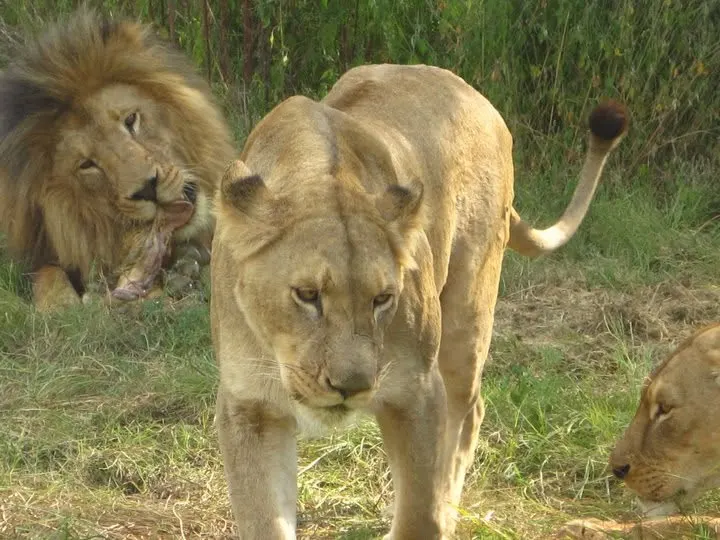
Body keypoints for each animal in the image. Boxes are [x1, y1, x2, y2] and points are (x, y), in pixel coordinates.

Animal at [210, 64, 626, 539]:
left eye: (382, 299)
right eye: (307, 295)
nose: (351, 387)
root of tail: (471, 93)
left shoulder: (415, 390)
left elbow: (418, 514)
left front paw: (432, 515)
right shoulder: (249, 408)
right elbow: (264, 518)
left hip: (468, 314)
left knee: (469, 410)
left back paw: (449, 509)